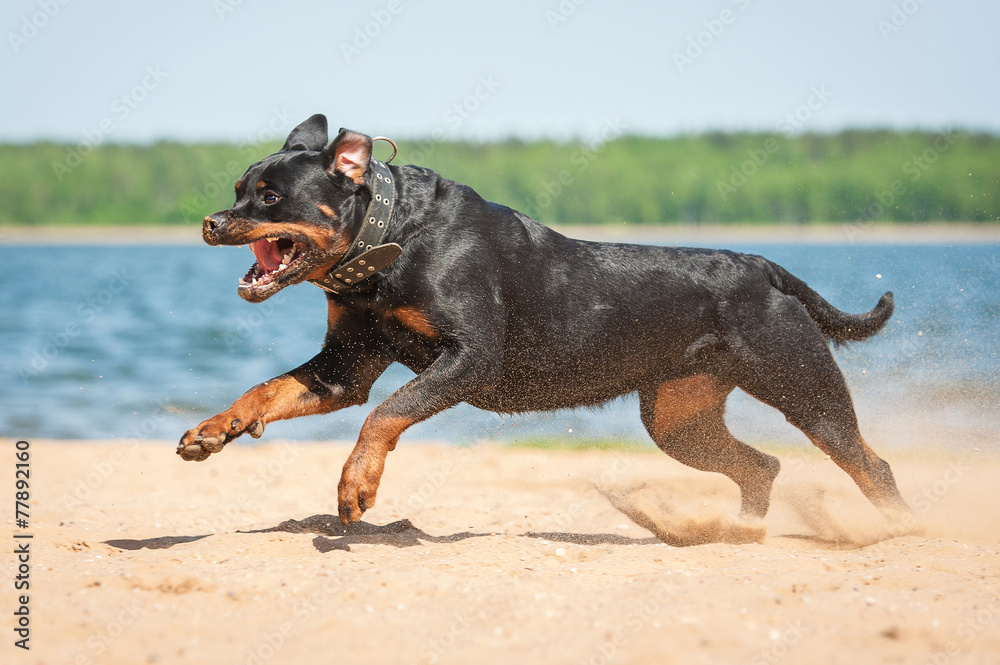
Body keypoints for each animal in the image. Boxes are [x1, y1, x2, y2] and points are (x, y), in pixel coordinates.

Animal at [176, 114, 912, 528]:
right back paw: (741, 532)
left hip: (803, 386)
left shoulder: (469, 357)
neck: (391, 239)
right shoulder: (344, 368)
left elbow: (386, 413)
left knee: (869, 463)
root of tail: (759, 264)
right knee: (761, 466)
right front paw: (215, 429)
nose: (211, 220)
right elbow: (269, 389)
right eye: (238, 189)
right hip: (678, 418)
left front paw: (357, 483)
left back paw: (902, 529)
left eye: (271, 196)